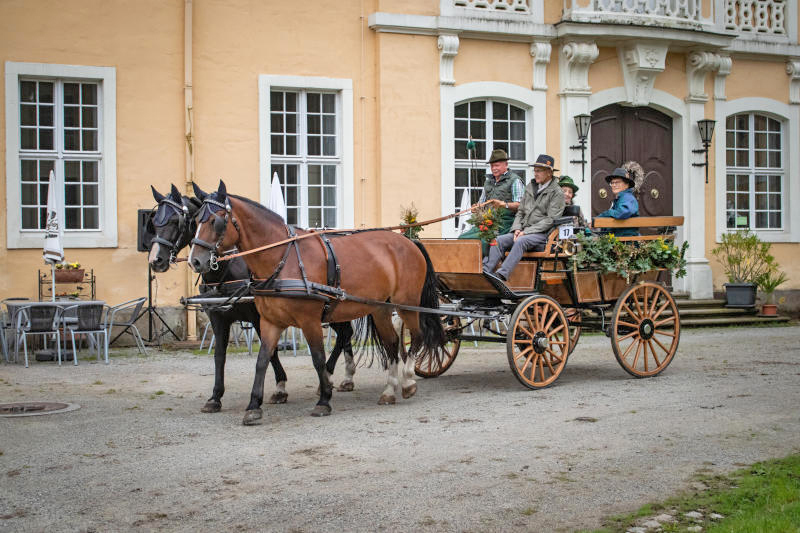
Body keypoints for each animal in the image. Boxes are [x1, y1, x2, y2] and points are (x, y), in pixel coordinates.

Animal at [191, 182, 446, 424]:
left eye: (215, 221)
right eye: (195, 220)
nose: (195, 261)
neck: (284, 259)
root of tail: (408, 241)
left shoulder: (309, 321)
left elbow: (317, 359)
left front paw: (324, 399)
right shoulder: (269, 322)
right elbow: (263, 360)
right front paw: (254, 406)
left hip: (406, 304)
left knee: (417, 336)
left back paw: (408, 381)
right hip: (380, 309)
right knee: (392, 343)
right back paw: (390, 389)